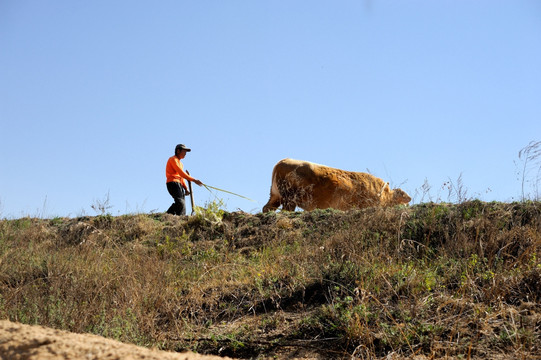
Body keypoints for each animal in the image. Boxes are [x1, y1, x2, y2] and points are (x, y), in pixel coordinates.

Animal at [262, 159, 410, 212]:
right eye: (402, 193)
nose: (409, 198)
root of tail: (283, 161)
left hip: (276, 195)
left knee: (267, 208)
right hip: (289, 198)